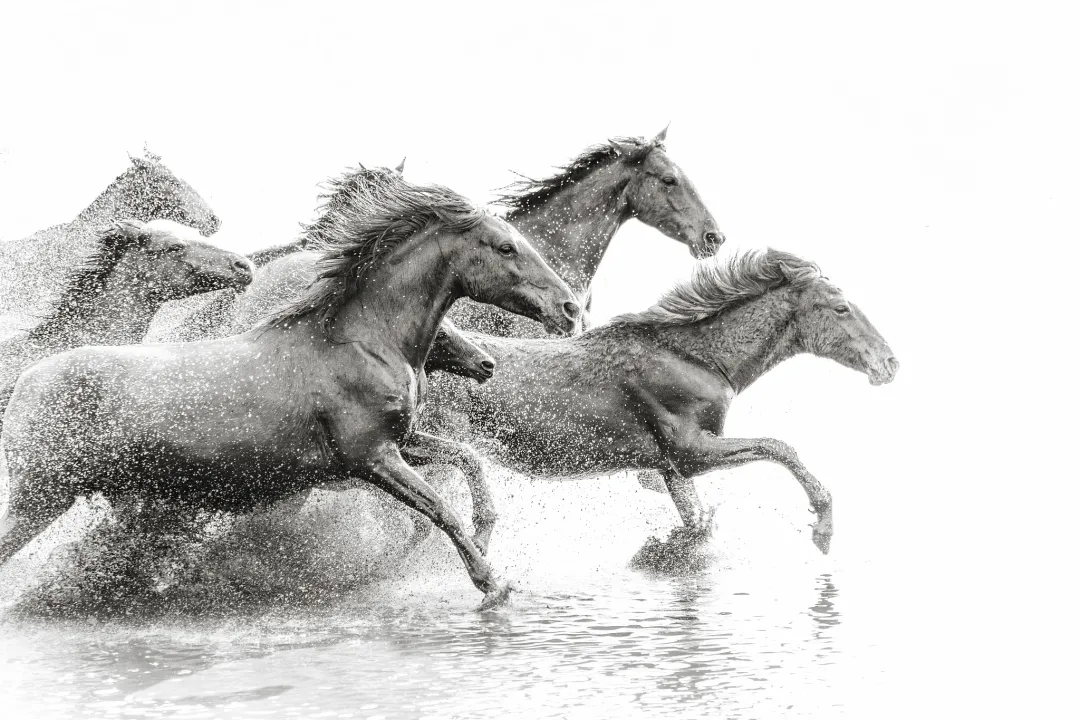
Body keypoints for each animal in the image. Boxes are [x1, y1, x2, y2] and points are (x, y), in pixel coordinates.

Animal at [442, 250, 898, 557]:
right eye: (841, 308)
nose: (889, 363)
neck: (698, 359)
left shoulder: (671, 467)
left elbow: (697, 524)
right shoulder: (691, 451)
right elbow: (778, 447)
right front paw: (823, 526)